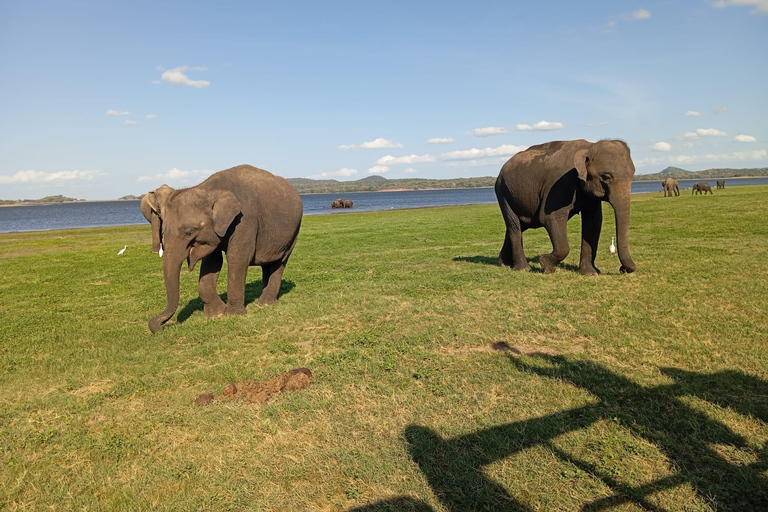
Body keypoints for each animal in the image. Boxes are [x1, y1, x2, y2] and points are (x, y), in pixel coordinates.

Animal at [141, 163, 304, 332]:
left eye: (189, 232)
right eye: (164, 232)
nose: (159, 327)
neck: (210, 190)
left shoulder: (245, 221)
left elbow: (237, 259)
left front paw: (233, 315)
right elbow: (213, 262)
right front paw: (216, 314)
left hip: (293, 232)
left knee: (280, 262)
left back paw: (266, 303)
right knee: (268, 264)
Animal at [496, 140, 640, 274]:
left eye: (633, 174)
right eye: (606, 177)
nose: (622, 269)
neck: (589, 146)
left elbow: (593, 221)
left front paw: (590, 273)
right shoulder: (559, 183)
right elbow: (549, 217)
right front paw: (545, 265)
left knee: (519, 226)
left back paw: (504, 264)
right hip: (503, 193)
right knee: (515, 227)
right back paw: (523, 269)